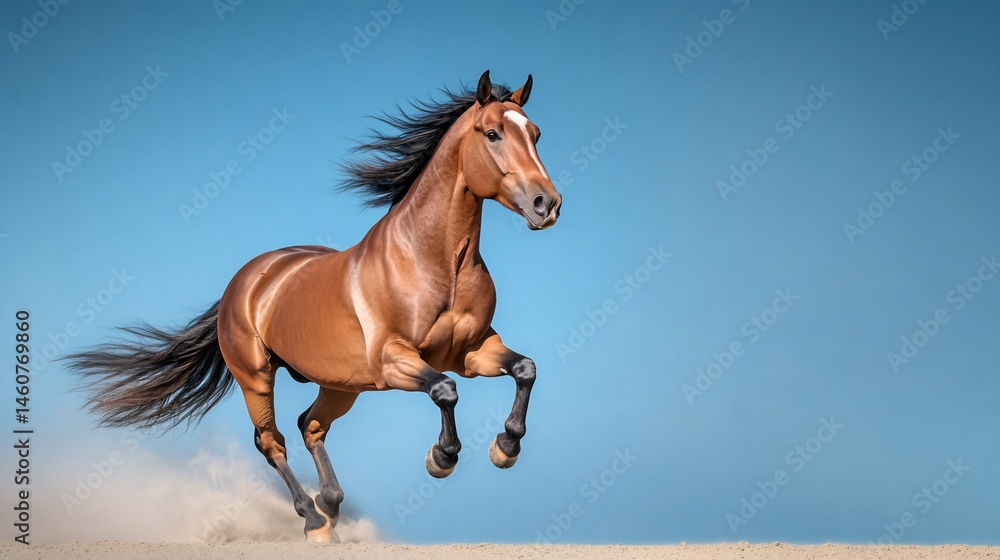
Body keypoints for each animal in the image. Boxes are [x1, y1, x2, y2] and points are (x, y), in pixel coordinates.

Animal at [65, 70, 562, 543]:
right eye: (492, 133)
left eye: (536, 134)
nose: (547, 204)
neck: (435, 260)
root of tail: (247, 280)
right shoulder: (394, 360)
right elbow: (445, 390)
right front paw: (441, 457)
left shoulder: (472, 352)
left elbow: (525, 369)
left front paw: (505, 447)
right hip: (258, 377)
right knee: (273, 441)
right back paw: (314, 520)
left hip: (342, 384)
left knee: (311, 426)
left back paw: (331, 504)